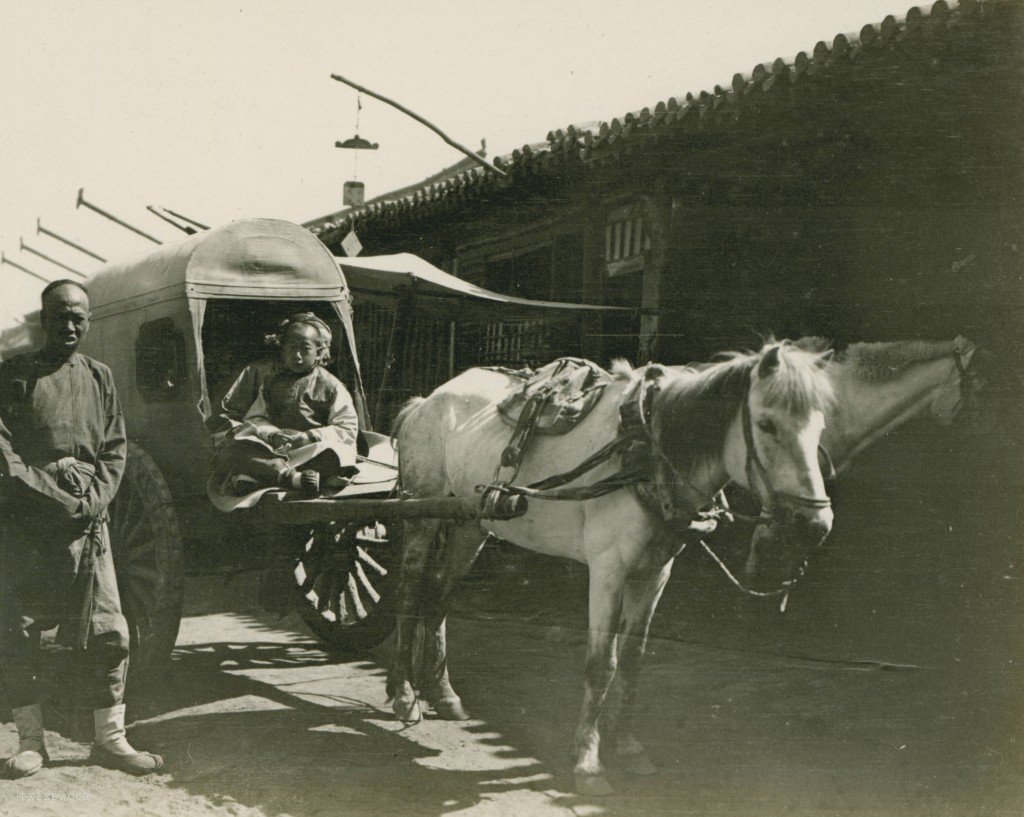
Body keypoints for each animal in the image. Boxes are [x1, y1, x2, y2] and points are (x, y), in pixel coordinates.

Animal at [387, 339, 835, 794]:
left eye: (820, 429)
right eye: (767, 425)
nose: (815, 525)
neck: (648, 454)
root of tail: (429, 400)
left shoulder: (655, 574)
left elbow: (634, 659)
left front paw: (629, 746)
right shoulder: (608, 571)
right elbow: (602, 664)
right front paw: (587, 761)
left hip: (472, 523)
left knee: (440, 593)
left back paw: (443, 693)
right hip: (422, 515)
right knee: (408, 593)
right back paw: (404, 695)